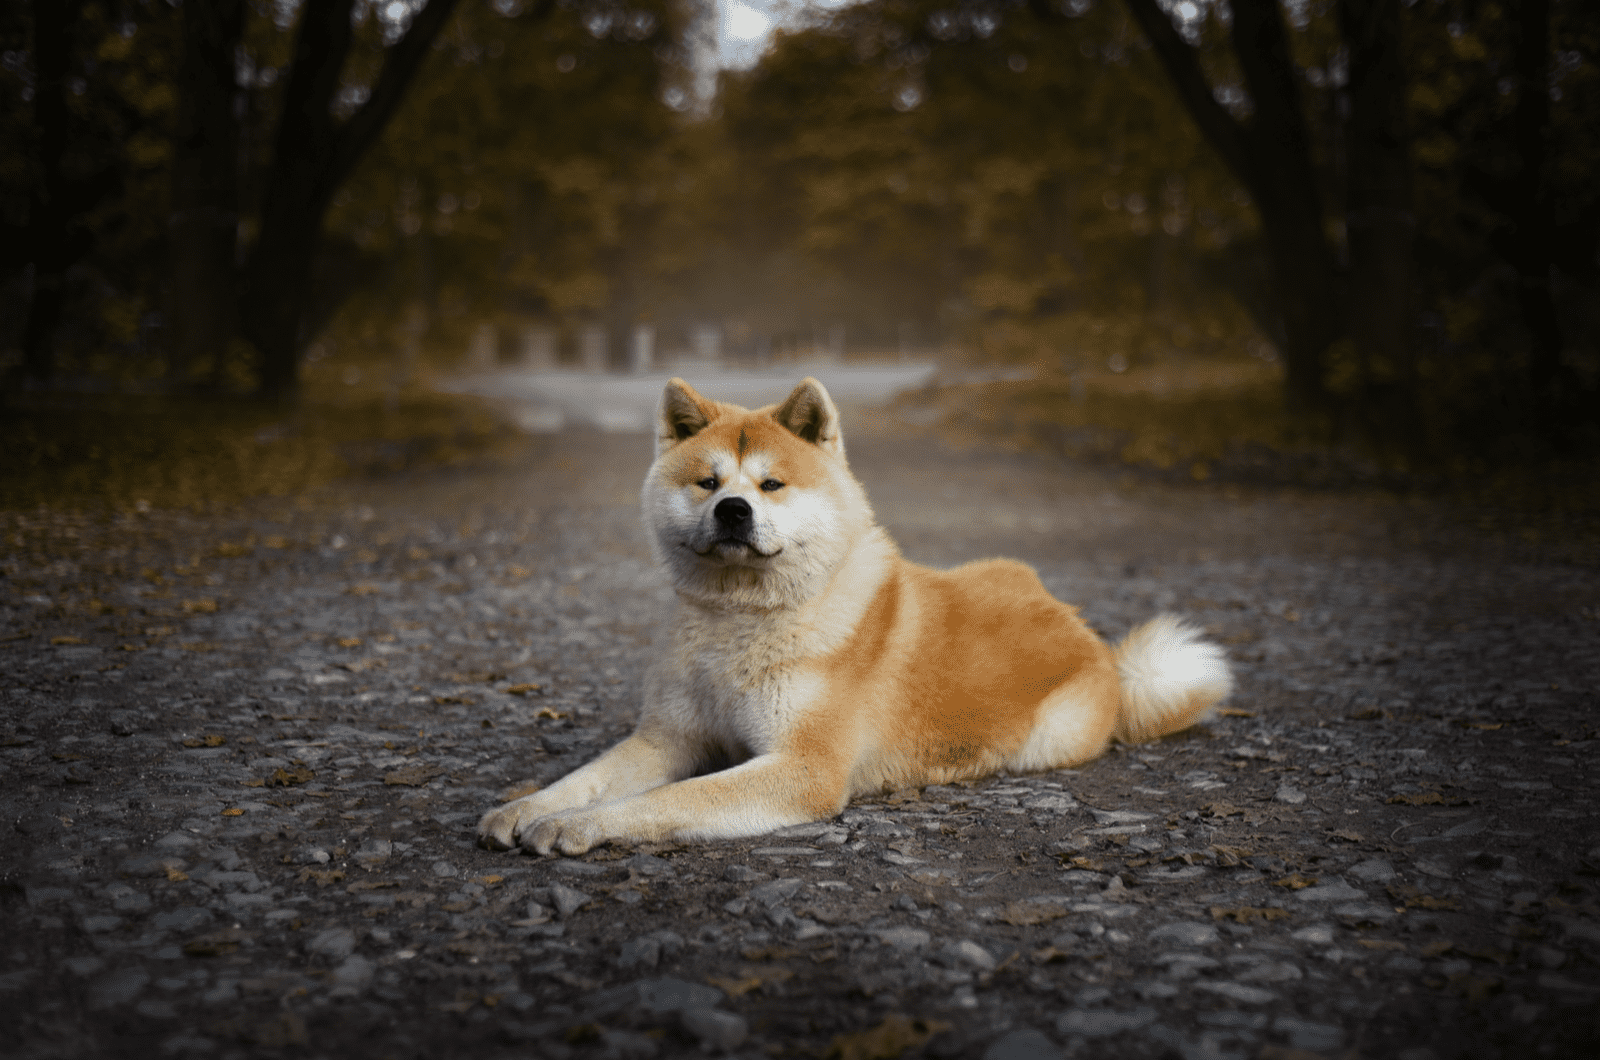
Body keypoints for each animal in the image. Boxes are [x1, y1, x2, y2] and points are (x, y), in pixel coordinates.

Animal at [467, 377, 1228, 858]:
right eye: (707, 483)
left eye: (771, 484)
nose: (732, 510)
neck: (741, 621)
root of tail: (1093, 641)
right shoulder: (667, 738)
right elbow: (587, 776)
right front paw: (528, 806)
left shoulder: (801, 768)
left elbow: (666, 802)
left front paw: (583, 825)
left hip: (1046, 737)